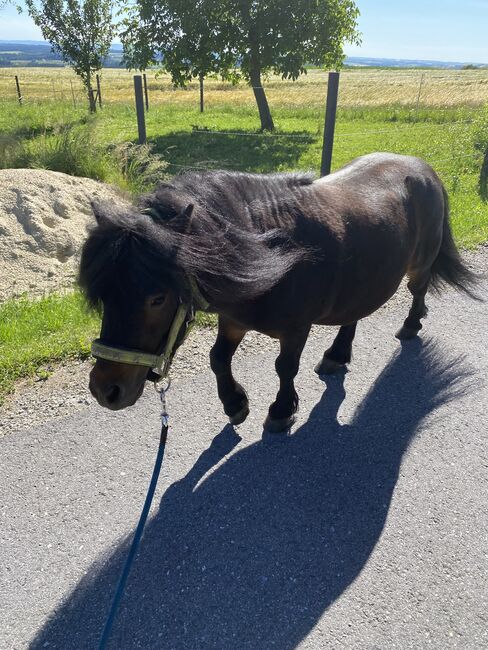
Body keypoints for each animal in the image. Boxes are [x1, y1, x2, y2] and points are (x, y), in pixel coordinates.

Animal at [80, 152, 476, 430]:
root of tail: (423, 168)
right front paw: (235, 404)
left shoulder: (296, 329)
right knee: (354, 313)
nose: (105, 390)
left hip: (419, 265)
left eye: (157, 299)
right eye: (103, 296)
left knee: (418, 290)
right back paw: (337, 355)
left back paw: (410, 325)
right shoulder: (233, 319)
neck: (269, 252)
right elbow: (218, 358)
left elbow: (285, 367)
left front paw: (281, 411)